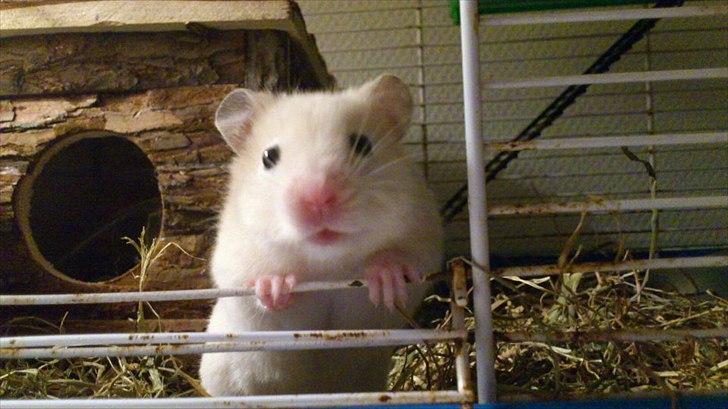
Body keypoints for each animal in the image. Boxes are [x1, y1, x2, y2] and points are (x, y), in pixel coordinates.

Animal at [199, 75, 443, 396]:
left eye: (362, 144)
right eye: (268, 157)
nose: (318, 199)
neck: (328, 264)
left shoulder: (424, 240)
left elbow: (404, 262)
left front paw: (386, 278)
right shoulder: (233, 265)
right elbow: (252, 290)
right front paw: (274, 286)